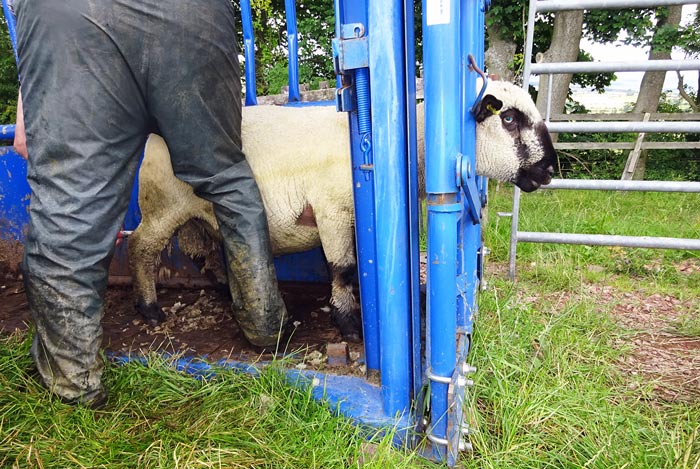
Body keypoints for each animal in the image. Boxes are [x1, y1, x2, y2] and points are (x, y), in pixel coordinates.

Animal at [129, 82, 556, 342]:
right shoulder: (331, 210)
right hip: (161, 207)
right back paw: (150, 309)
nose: (550, 169)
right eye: (509, 118)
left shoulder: (351, 217)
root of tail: (154, 135)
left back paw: (227, 290)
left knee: (202, 252)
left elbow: (357, 267)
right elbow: (343, 268)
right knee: (141, 250)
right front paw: (348, 322)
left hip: (196, 214)